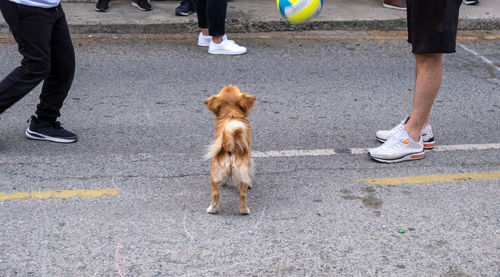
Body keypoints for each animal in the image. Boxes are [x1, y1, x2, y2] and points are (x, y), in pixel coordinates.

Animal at [205, 85, 256, 215]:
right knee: (242, 195)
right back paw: (244, 210)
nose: (230, 84)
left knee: (216, 194)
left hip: (215, 175)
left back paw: (213, 210)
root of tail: (230, 146)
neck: (230, 113)